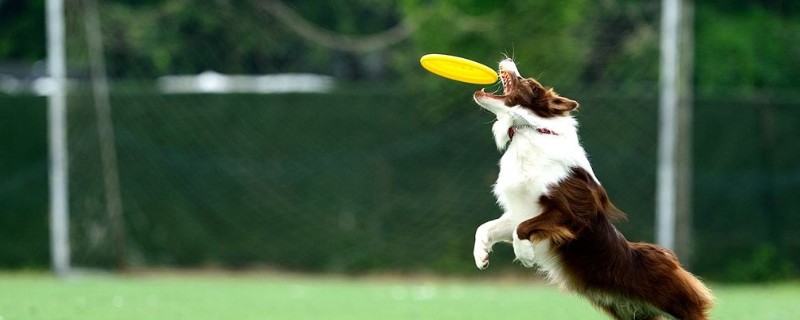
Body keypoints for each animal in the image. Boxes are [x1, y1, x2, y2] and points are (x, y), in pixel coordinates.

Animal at [468, 58, 712, 318]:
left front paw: (525, 255)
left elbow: (521, 229)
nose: (508, 60)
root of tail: (671, 259)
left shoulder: (575, 213)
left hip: (676, 302)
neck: (530, 130)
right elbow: (487, 227)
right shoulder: (520, 210)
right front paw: (481, 255)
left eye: (529, 83)